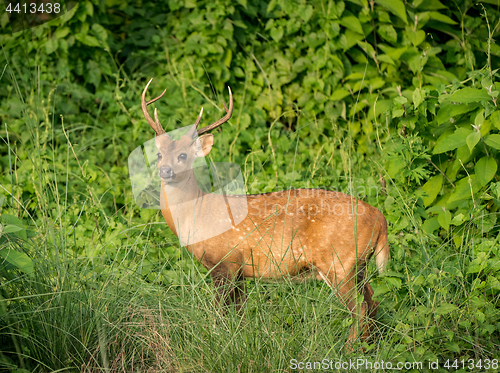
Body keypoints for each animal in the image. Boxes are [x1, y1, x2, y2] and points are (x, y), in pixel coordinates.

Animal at [141, 77, 390, 348]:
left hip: (340, 262)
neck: (198, 213)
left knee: (360, 309)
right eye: (159, 154)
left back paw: (348, 349)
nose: (165, 170)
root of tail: (381, 219)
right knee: (373, 302)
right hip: (358, 264)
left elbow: (219, 313)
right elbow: (239, 314)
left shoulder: (225, 262)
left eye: (183, 155)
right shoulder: (241, 271)